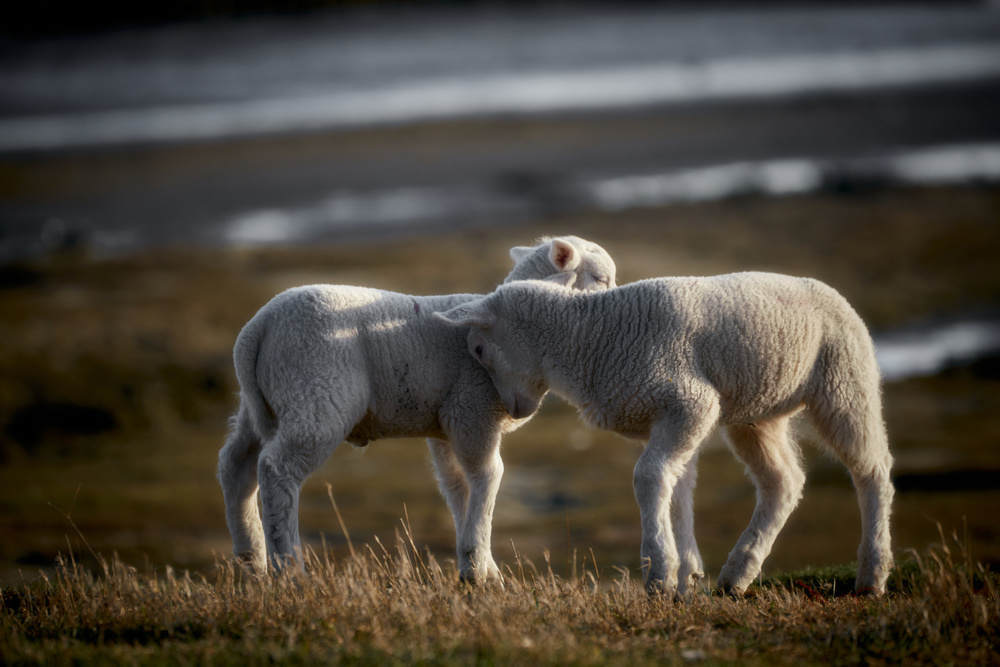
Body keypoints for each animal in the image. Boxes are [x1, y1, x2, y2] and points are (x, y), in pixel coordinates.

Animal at [219, 237, 616, 580]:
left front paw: (482, 567)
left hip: (265, 405)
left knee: (235, 464)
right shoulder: (472, 411)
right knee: (276, 469)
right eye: (600, 278)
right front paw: (477, 566)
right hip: (317, 396)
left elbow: (456, 487)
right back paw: (289, 569)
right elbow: (488, 476)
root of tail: (258, 327)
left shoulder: (445, 425)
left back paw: (250, 557)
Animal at [442, 274, 896, 596]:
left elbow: (648, 478)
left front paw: (659, 573)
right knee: (783, 481)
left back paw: (872, 575)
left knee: (872, 471)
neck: (591, 338)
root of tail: (833, 293)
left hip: (844, 381)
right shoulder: (665, 418)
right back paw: (738, 574)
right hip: (757, 413)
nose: (513, 412)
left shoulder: (691, 403)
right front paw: (686, 577)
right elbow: (675, 489)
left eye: (479, 349)